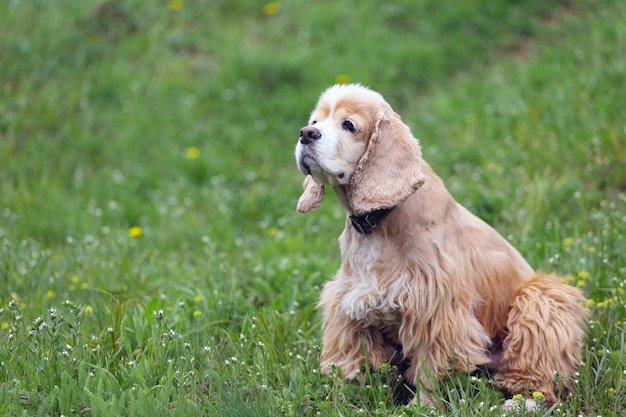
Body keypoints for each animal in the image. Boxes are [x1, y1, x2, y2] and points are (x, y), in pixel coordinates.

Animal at [292, 83, 584, 408]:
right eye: (315, 121)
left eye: (349, 125)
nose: (305, 133)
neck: (378, 222)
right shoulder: (349, 307)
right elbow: (351, 364)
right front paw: (342, 402)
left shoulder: (435, 308)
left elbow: (430, 368)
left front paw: (421, 407)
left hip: (540, 300)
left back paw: (521, 403)